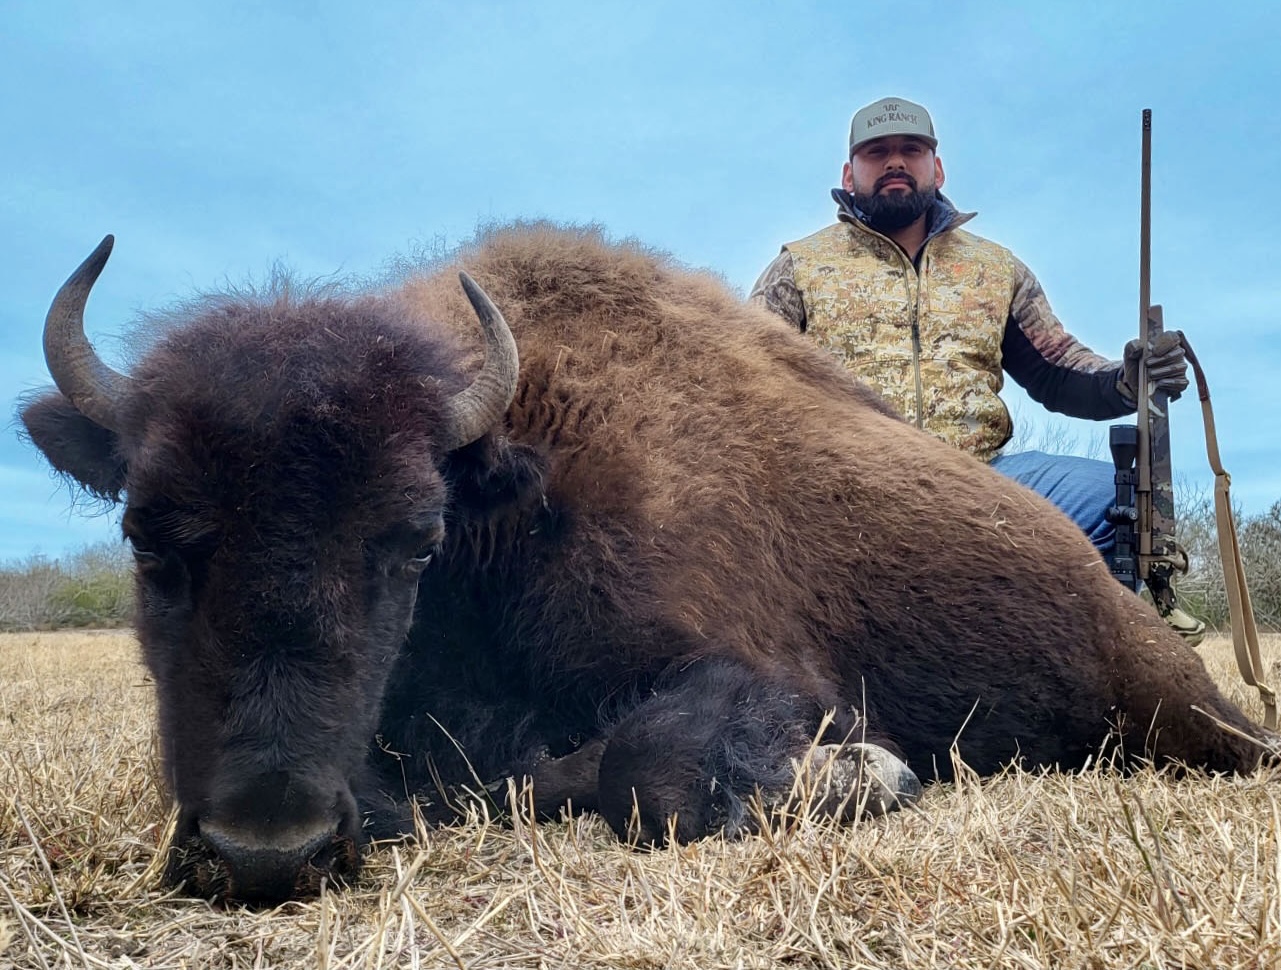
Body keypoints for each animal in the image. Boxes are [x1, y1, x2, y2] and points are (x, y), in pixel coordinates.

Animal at [17, 225, 1270, 902]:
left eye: (416, 534)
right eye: (143, 531)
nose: (262, 850)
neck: (517, 468)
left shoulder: (752, 670)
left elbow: (639, 769)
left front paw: (862, 775)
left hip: (1183, 709)